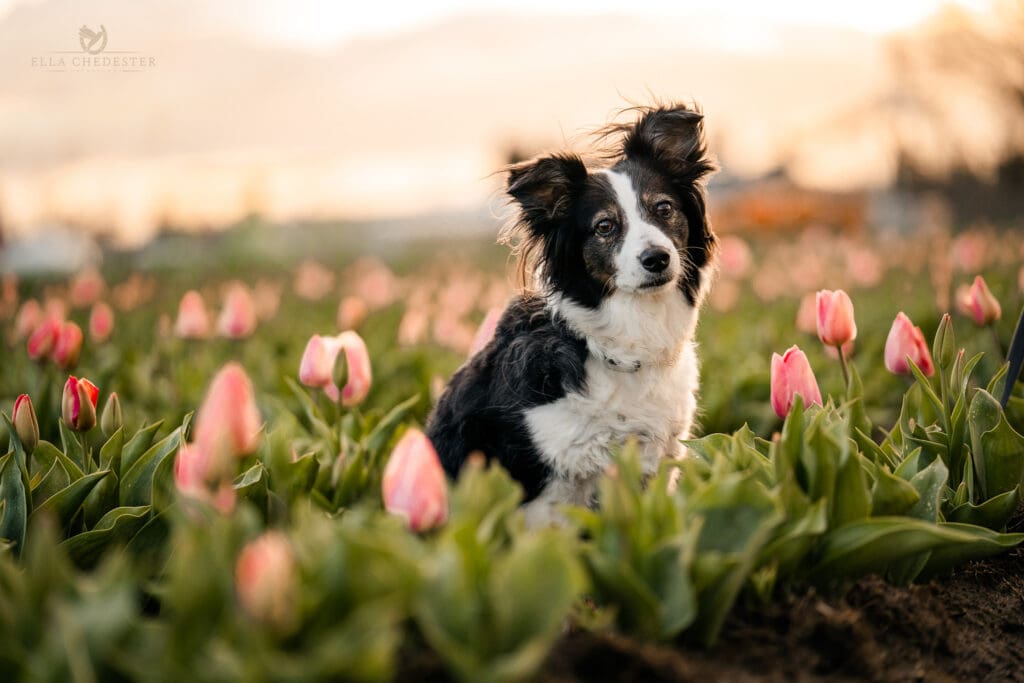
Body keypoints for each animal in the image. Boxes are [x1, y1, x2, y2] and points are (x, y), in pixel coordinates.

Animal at [428, 104, 716, 528]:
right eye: (605, 226)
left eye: (664, 208)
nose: (657, 258)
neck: (620, 344)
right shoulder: (548, 491)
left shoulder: (657, 466)